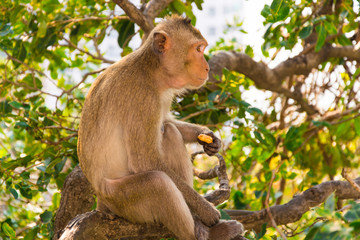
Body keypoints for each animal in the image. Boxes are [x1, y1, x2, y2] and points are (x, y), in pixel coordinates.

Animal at [77, 15, 243, 240]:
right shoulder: (143, 98)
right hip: (120, 200)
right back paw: (210, 233)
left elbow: (166, 121)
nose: (207, 68)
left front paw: (208, 138)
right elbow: (145, 161)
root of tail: (101, 203)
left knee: (170, 132)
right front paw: (208, 211)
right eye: (198, 49)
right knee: (158, 182)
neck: (152, 70)